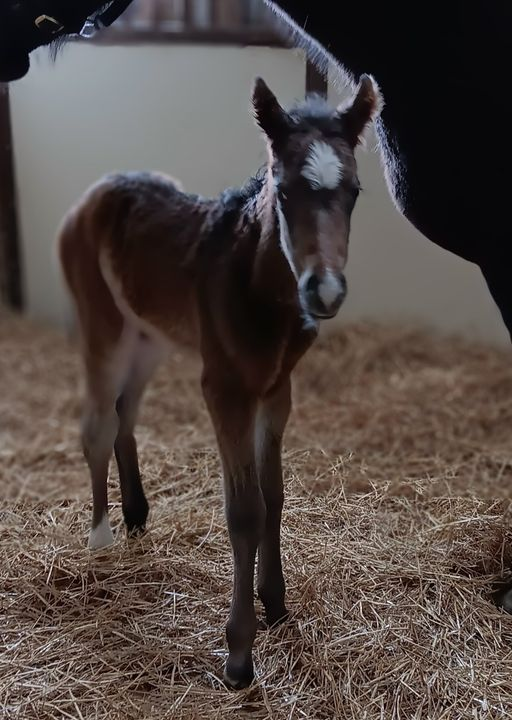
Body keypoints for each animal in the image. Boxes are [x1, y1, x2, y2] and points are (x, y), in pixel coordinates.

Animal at [56, 74, 381, 688]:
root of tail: (95, 193)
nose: (324, 292)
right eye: (284, 192)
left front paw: (275, 603)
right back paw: (102, 536)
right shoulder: (226, 391)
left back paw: (136, 516)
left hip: (150, 337)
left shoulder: (275, 391)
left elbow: (274, 496)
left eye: (353, 191)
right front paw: (238, 654)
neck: (257, 287)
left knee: (126, 414)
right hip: (104, 327)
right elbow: (245, 512)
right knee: (96, 423)